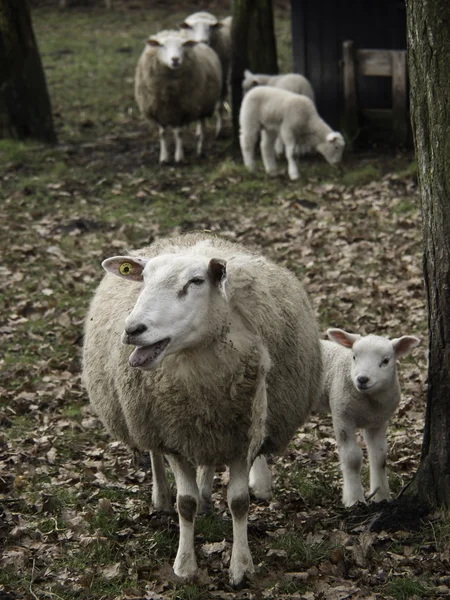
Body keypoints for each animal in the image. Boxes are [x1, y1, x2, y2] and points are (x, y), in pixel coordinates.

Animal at [83, 233, 324, 584]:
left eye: (196, 281)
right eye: (144, 280)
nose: (132, 330)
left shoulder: (240, 436)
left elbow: (239, 502)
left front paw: (240, 566)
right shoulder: (171, 434)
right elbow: (185, 503)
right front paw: (184, 565)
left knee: (208, 463)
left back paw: (208, 494)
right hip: (148, 420)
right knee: (154, 455)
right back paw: (161, 497)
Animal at [135, 29, 223, 163]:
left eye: (182, 46)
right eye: (162, 46)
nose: (175, 59)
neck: (168, 91)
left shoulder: (182, 110)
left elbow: (179, 133)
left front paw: (179, 157)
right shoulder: (158, 110)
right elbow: (162, 133)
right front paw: (164, 157)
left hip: (203, 105)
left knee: (202, 128)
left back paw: (200, 150)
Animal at [314, 328, 420, 506]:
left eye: (385, 361)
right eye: (354, 357)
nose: (362, 379)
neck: (368, 404)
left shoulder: (378, 422)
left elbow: (379, 457)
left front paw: (381, 496)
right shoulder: (342, 417)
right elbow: (352, 458)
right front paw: (354, 500)